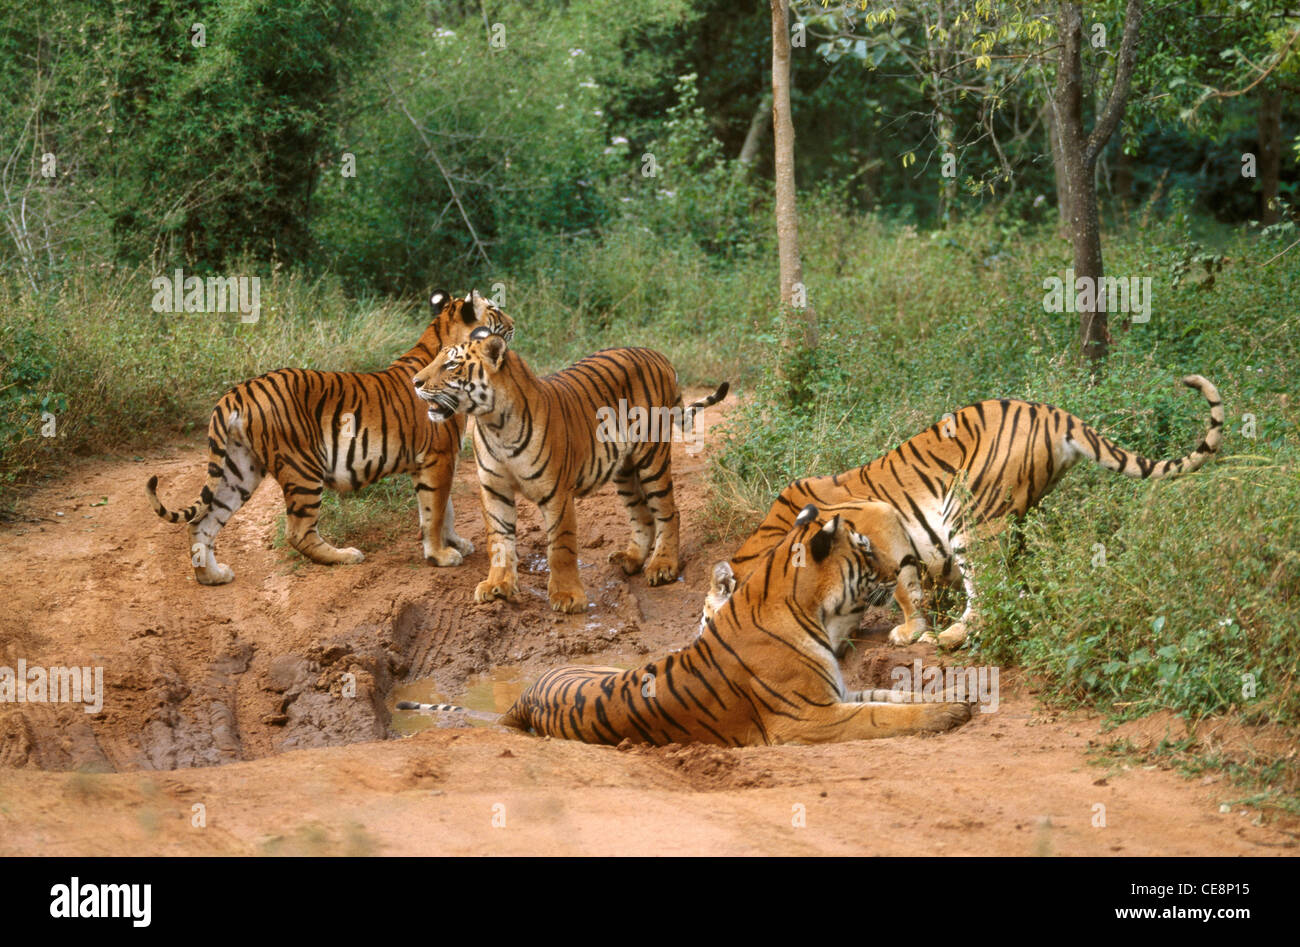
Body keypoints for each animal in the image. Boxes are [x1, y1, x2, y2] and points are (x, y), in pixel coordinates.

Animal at [146, 288, 512, 585]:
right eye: (495, 311)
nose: (514, 323)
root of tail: (238, 392)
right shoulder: (439, 457)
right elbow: (435, 511)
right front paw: (440, 555)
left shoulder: (440, 460)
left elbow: (445, 509)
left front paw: (456, 544)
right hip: (302, 467)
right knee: (297, 532)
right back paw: (346, 555)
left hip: (238, 470)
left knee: (202, 522)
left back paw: (212, 576)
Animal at [400, 502, 972, 749]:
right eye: (867, 550)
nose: (901, 569)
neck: (815, 612)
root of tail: (523, 696)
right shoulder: (809, 717)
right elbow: (884, 717)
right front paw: (950, 714)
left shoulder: (837, 694)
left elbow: (894, 697)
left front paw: (957, 696)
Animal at [410, 331, 728, 613]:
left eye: (451, 365)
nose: (414, 382)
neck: (494, 423)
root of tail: (657, 354)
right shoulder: (494, 489)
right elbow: (498, 541)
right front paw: (497, 585)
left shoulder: (557, 493)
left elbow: (560, 548)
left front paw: (567, 597)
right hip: (624, 470)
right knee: (642, 515)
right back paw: (631, 559)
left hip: (652, 456)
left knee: (668, 512)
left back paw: (662, 566)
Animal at [717, 374, 1222, 647]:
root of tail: (1055, 414)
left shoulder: (880, 520)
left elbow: (904, 586)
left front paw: (911, 632)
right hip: (1011, 514)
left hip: (970, 517)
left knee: (986, 596)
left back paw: (948, 639)